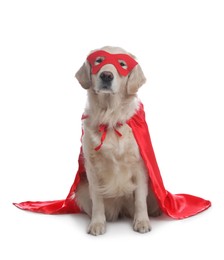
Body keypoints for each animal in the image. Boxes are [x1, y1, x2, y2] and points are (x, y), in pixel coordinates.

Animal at [75, 46, 161, 236]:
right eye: (99, 60)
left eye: (122, 64)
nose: (106, 75)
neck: (110, 118)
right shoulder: (91, 167)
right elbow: (97, 199)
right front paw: (97, 223)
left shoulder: (140, 165)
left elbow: (140, 199)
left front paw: (142, 222)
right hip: (81, 190)